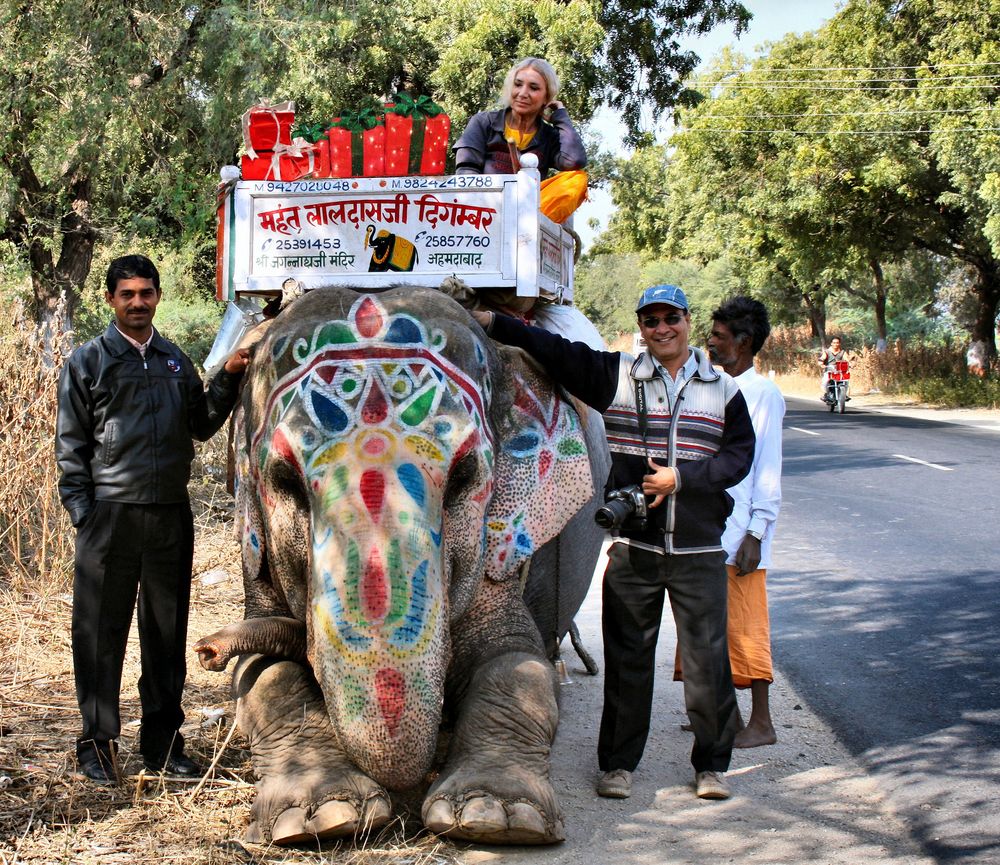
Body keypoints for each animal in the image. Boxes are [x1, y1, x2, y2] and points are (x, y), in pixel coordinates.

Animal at [191, 286, 604, 844]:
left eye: (464, 478)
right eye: (284, 481)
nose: (206, 649)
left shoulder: (499, 551)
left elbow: (516, 662)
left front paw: (496, 818)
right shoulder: (253, 552)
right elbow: (263, 672)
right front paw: (322, 818)